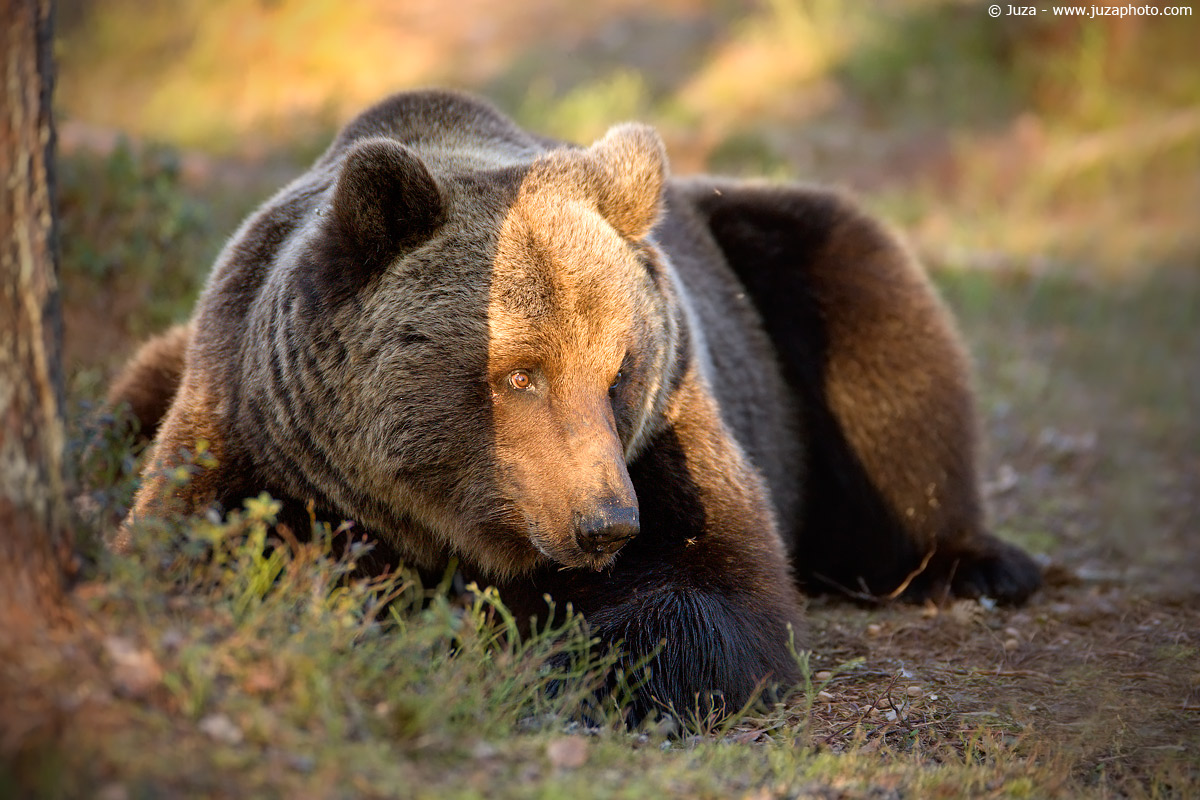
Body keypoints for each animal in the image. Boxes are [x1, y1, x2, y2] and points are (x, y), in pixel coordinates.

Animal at [109, 89, 1041, 720]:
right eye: (520, 373)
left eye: (619, 368)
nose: (605, 524)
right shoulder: (256, 433)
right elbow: (191, 551)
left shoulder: (669, 434)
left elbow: (716, 590)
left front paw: (557, 667)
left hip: (782, 271)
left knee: (881, 321)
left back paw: (978, 562)